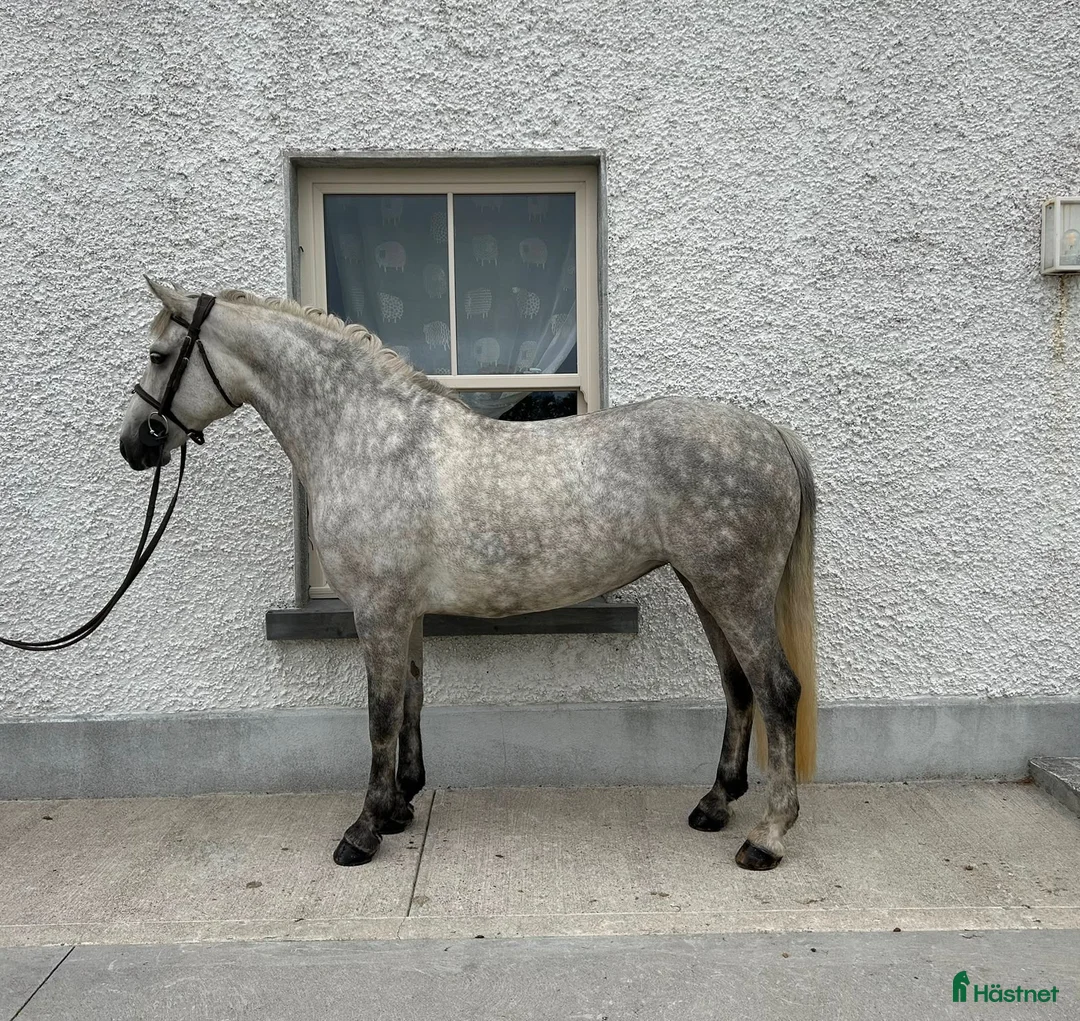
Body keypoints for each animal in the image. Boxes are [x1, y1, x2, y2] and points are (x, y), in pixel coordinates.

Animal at [119, 279, 818, 872]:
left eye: (158, 355)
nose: (134, 446)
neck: (366, 436)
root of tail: (771, 434)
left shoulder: (377, 610)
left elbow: (379, 713)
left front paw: (363, 832)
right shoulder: (406, 613)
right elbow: (410, 700)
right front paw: (399, 808)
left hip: (734, 590)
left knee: (777, 690)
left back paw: (767, 837)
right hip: (706, 586)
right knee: (739, 687)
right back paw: (715, 805)